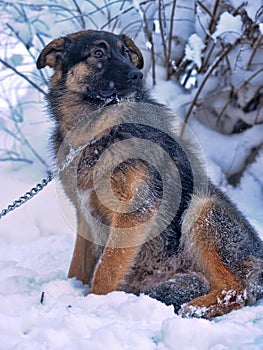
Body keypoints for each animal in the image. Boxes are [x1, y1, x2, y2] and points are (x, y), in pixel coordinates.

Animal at [37, 30, 263, 318]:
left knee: (237, 290)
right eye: (98, 53)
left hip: (202, 208)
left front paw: (91, 305)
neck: (97, 135)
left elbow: (106, 270)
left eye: (125, 52)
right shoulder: (85, 217)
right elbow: (78, 267)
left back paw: (194, 309)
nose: (137, 74)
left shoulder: (135, 212)